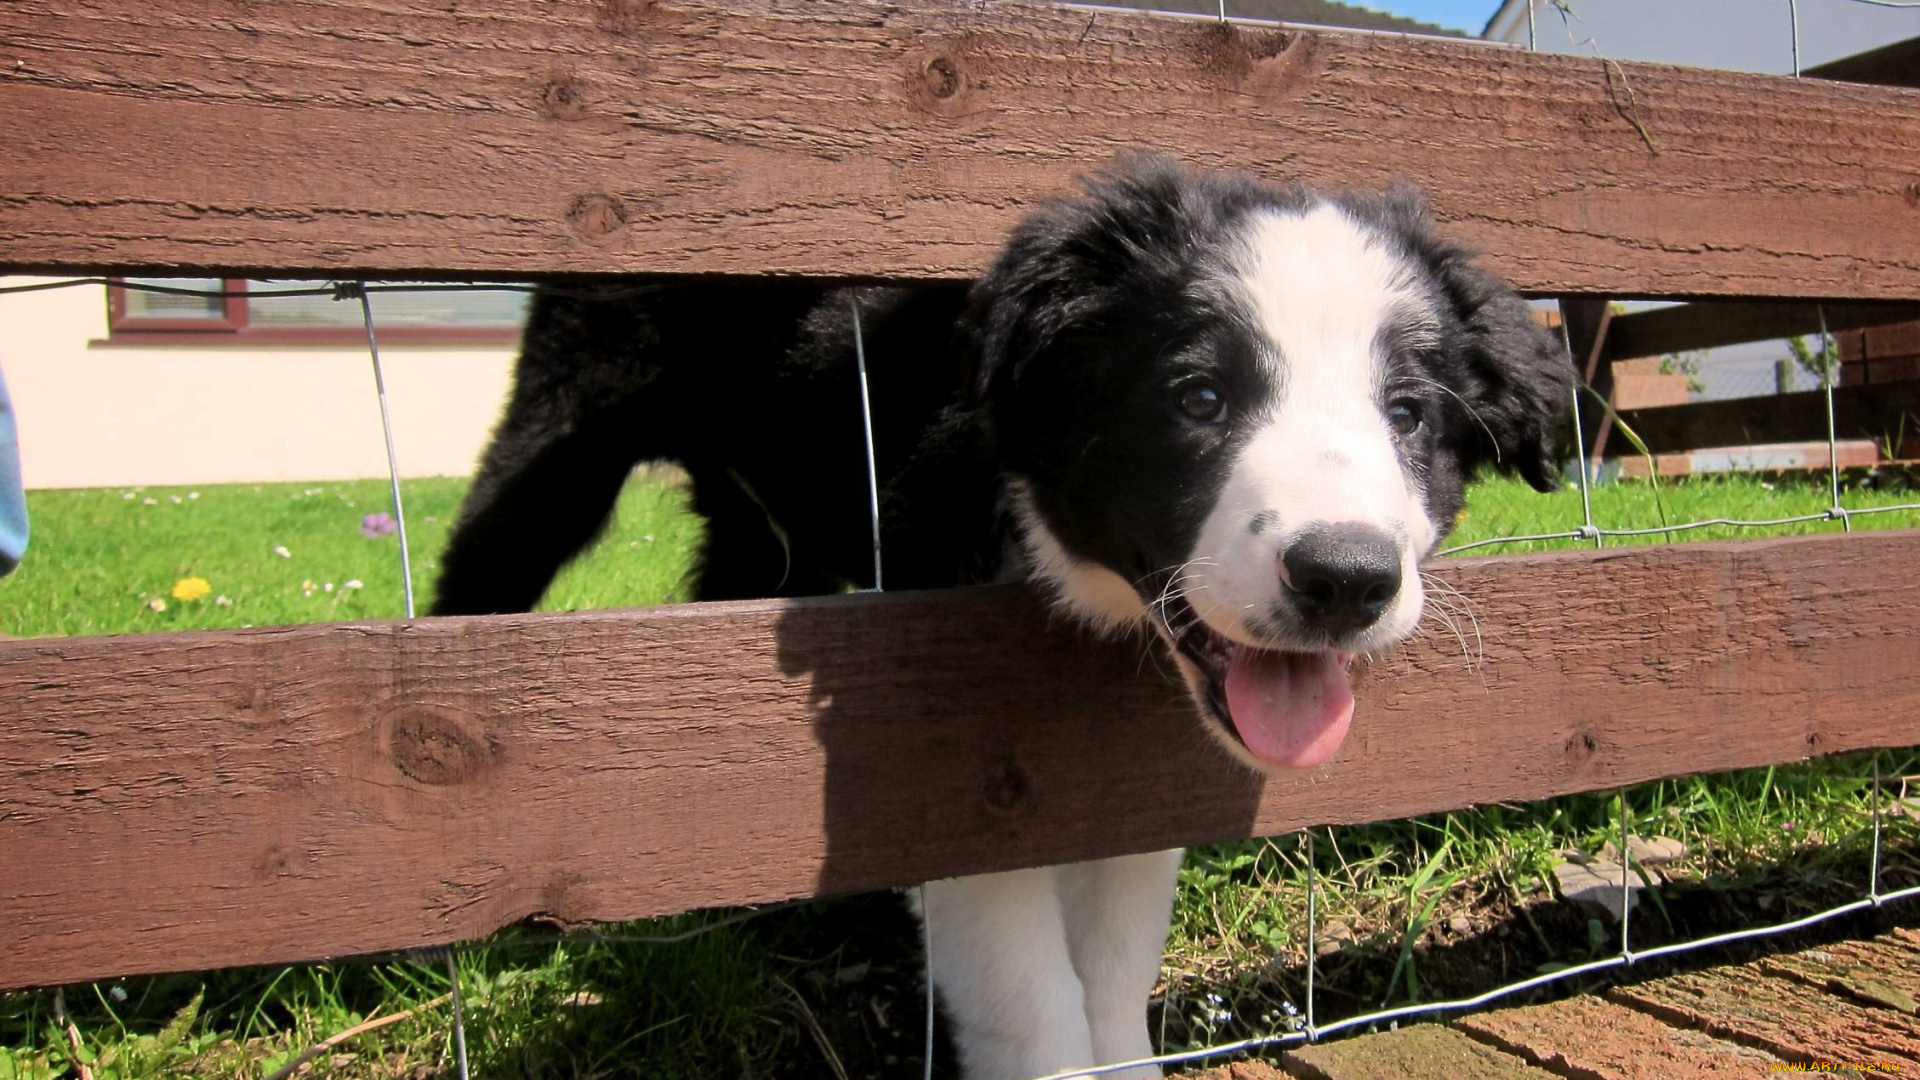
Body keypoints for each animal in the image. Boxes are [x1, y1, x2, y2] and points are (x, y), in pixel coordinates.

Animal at [435, 153, 1574, 1076]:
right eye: (1198, 399)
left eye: (1407, 416)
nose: (1346, 578)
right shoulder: (953, 743)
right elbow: (1032, 996)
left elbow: (1113, 964)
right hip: (560, 436)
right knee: (476, 573)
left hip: (763, 527)